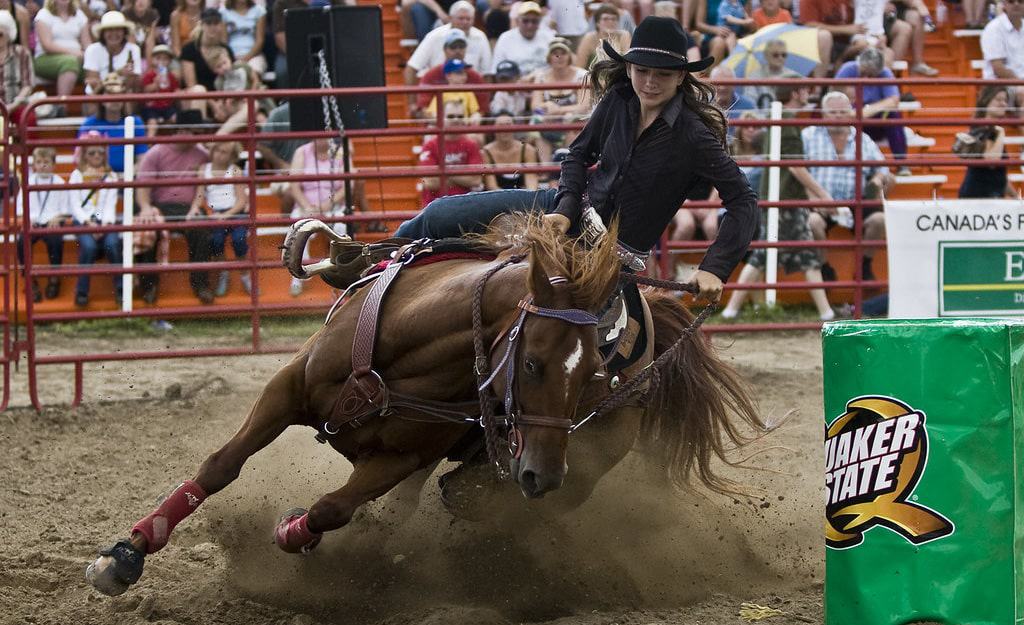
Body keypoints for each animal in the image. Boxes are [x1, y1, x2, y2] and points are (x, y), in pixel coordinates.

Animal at [85, 215, 763, 596]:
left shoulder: (402, 460)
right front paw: (125, 555)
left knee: (443, 500)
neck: (410, 351)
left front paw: (293, 531)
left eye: (593, 374)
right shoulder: (287, 388)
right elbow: (221, 466)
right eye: (534, 364)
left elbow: (332, 507)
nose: (542, 475)